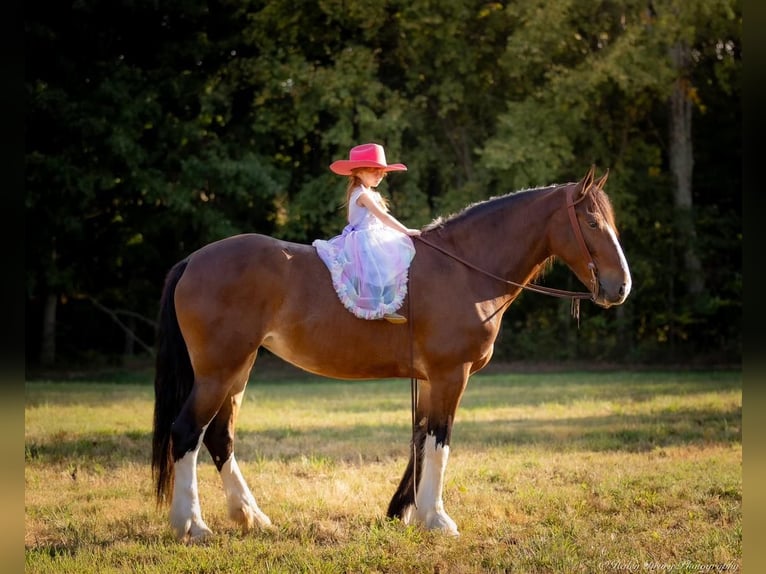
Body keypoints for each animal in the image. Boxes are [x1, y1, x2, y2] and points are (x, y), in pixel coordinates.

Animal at [150, 166, 632, 544]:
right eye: (592, 222)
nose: (621, 286)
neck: (463, 269)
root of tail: (193, 260)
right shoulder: (450, 375)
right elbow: (440, 441)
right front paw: (436, 518)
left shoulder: (430, 379)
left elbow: (420, 439)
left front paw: (405, 511)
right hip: (218, 371)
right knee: (187, 432)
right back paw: (192, 525)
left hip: (239, 368)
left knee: (219, 436)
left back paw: (250, 516)